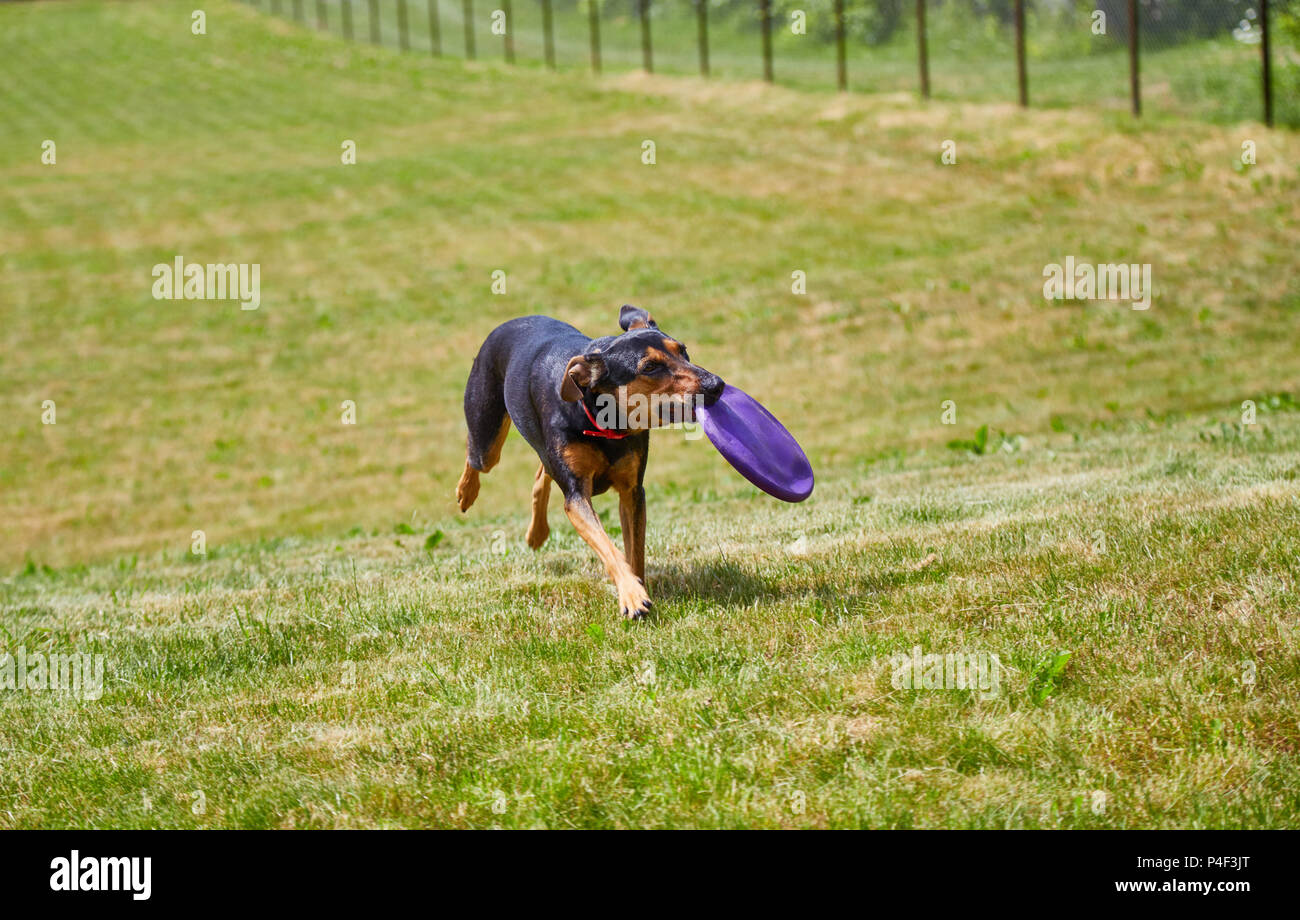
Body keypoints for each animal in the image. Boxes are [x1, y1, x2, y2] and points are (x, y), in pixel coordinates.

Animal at [454, 306, 722, 618]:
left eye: (683, 350)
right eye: (650, 368)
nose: (716, 385)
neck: (608, 421)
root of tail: (510, 322)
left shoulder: (632, 491)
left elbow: (634, 551)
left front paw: (639, 588)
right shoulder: (577, 495)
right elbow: (608, 546)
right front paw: (633, 596)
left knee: (542, 469)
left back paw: (537, 533)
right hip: (486, 429)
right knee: (478, 455)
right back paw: (466, 493)